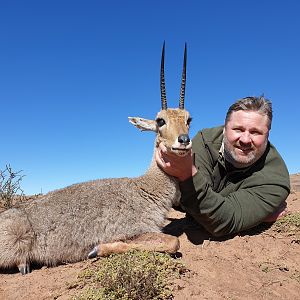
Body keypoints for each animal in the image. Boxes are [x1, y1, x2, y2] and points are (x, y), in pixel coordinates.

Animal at [0, 42, 192, 274]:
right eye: (160, 120)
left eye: (189, 119)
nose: (184, 140)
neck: (145, 188)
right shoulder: (134, 230)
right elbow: (173, 242)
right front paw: (97, 249)